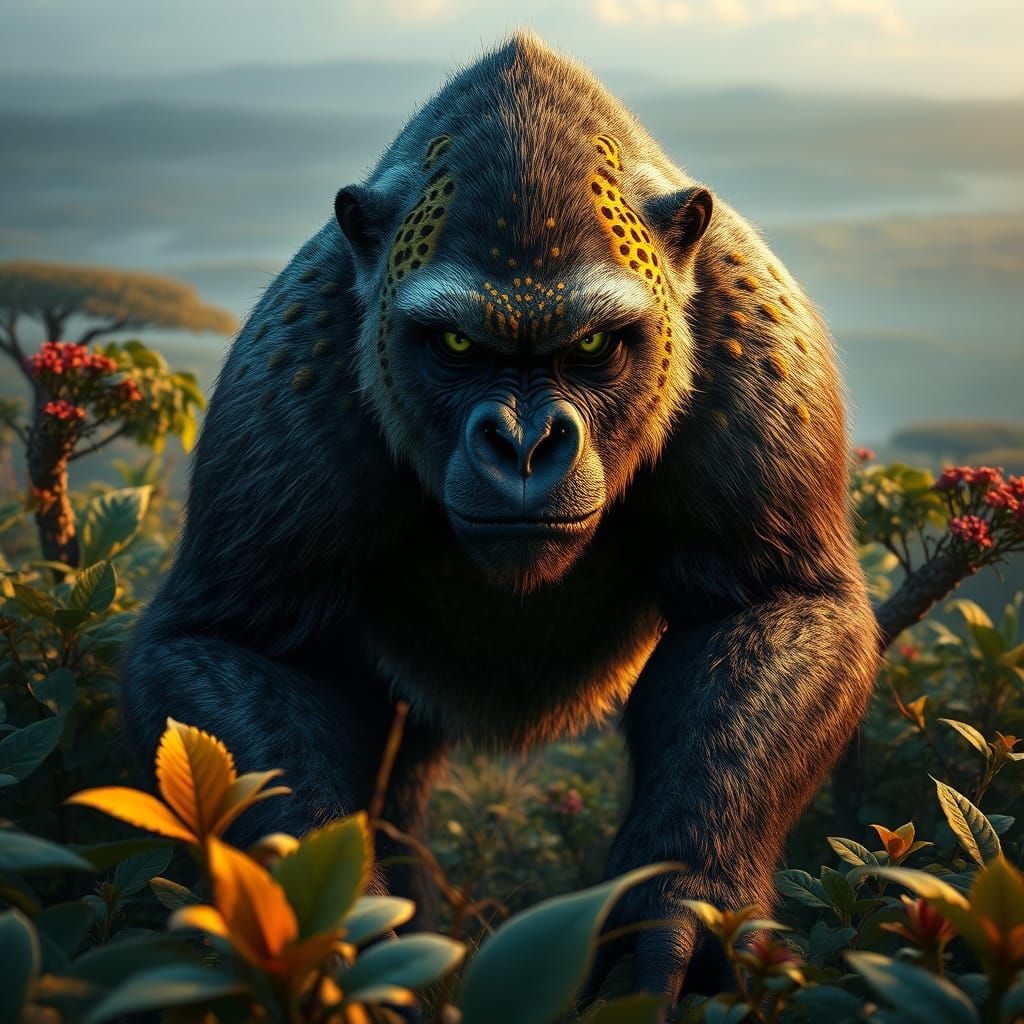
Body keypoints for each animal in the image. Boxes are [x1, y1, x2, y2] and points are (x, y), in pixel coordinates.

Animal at [120, 32, 879, 1002]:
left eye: (590, 345)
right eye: (455, 345)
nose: (522, 444)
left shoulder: (761, 335)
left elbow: (774, 610)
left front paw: (684, 905)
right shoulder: (292, 360)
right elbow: (233, 647)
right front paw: (331, 933)